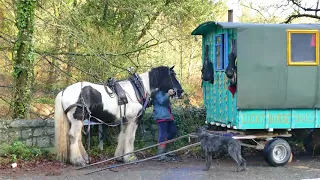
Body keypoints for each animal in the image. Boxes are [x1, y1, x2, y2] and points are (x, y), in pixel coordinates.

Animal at [54, 65, 184, 165]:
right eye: (172, 76)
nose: (181, 92)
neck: (137, 89)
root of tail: (64, 91)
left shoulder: (125, 120)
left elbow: (123, 136)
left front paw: (120, 157)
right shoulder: (133, 120)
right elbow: (130, 138)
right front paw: (130, 157)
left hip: (78, 120)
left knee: (78, 137)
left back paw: (84, 157)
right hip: (77, 118)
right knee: (73, 136)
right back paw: (78, 160)